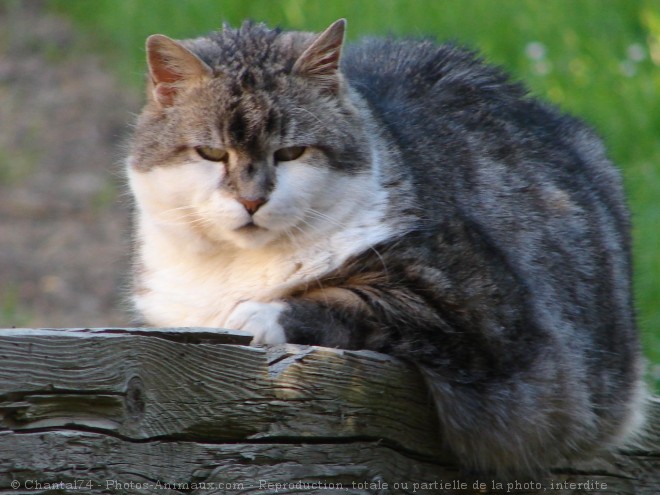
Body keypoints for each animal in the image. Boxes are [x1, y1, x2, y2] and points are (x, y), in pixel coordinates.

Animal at [126, 18, 648, 476]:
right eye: (212, 153)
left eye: (290, 153)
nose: (252, 200)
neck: (236, 265)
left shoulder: (488, 313)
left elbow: (351, 299)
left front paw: (256, 315)